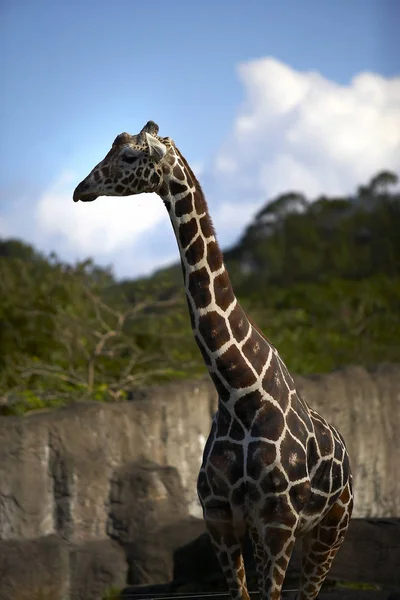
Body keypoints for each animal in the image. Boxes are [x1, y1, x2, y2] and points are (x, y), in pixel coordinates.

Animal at [72, 122, 354, 600]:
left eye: (129, 156)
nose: (81, 189)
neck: (239, 392)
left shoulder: (278, 522)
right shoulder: (220, 516)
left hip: (333, 526)